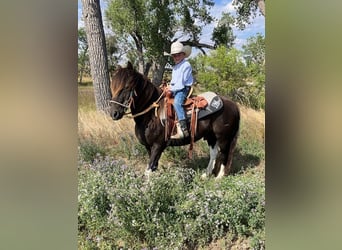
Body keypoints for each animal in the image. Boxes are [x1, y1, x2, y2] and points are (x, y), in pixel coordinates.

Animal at [108, 63, 239, 180]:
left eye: (126, 87)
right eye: (113, 86)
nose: (114, 113)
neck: (151, 114)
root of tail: (232, 104)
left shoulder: (158, 145)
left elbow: (149, 170)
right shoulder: (149, 146)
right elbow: (153, 166)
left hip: (223, 138)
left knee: (224, 154)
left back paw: (219, 176)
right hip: (211, 136)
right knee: (214, 154)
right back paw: (206, 175)